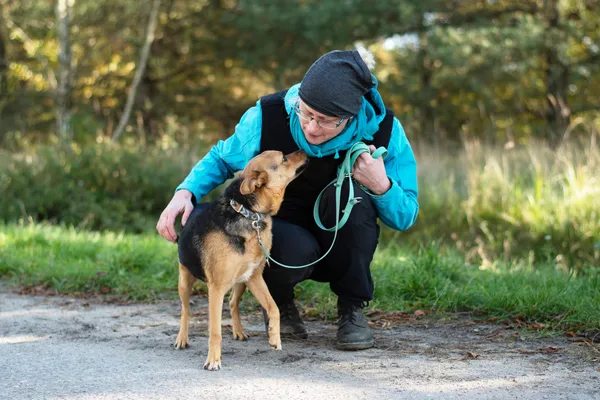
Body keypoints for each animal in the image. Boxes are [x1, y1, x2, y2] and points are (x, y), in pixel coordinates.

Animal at [171, 150, 308, 372]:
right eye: (284, 158)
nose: (303, 150)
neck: (250, 214)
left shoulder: (255, 277)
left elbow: (274, 308)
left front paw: (275, 338)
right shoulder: (216, 289)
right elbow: (215, 331)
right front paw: (213, 360)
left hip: (242, 282)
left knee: (233, 302)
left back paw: (239, 331)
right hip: (185, 281)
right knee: (186, 310)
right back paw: (182, 339)